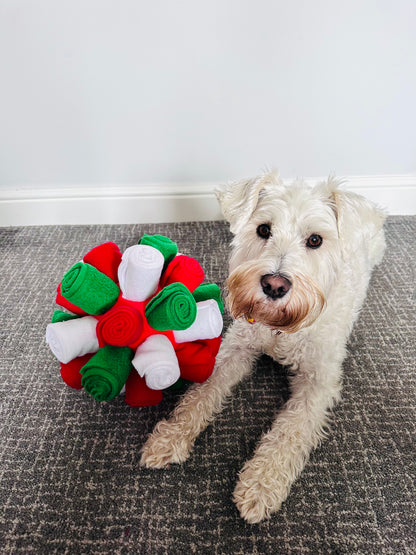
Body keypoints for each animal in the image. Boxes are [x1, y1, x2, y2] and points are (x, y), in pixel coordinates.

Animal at [141, 172, 386, 524]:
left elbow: (289, 430)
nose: (274, 285)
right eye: (263, 230)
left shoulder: (318, 381)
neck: (280, 329)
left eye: (315, 240)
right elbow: (200, 393)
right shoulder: (236, 347)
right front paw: (170, 436)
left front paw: (261, 483)